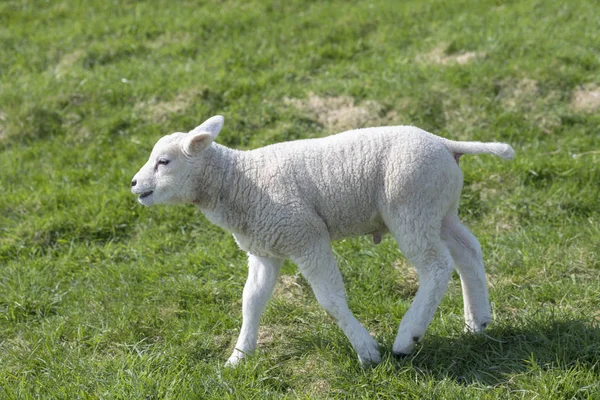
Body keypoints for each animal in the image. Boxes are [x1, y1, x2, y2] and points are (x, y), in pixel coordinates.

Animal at [131, 115, 516, 366]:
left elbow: (330, 299)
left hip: (411, 206)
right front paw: (238, 358)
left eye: (164, 161)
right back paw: (477, 322)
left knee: (437, 266)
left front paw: (367, 351)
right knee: (468, 251)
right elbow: (251, 301)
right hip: (440, 207)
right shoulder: (265, 249)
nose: (134, 184)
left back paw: (407, 337)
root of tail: (444, 143)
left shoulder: (306, 237)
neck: (239, 182)